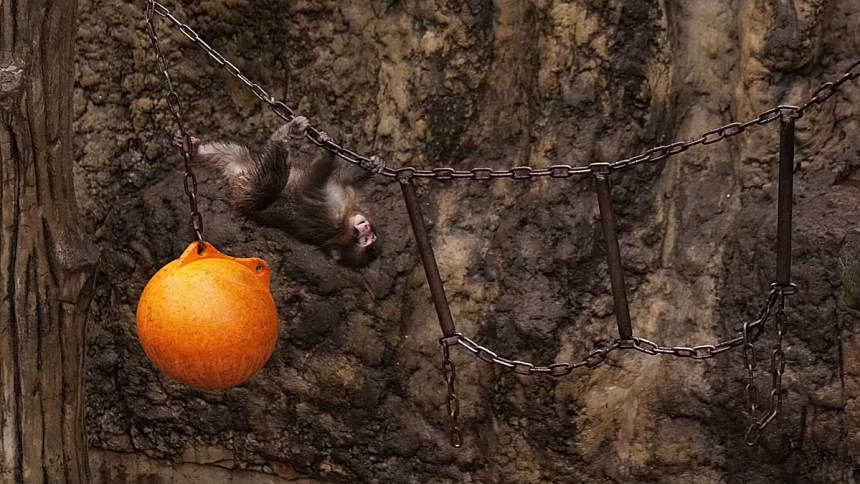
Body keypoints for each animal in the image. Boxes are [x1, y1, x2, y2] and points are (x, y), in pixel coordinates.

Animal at [174, 117, 382, 268]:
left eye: (366, 240)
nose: (367, 229)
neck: (347, 218)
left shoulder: (331, 217)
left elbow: (309, 186)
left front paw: (328, 154)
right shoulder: (347, 199)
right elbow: (346, 178)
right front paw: (373, 165)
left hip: (248, 191)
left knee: (270, 184)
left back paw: (282, 136)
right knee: (233, 154)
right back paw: (193, 149)